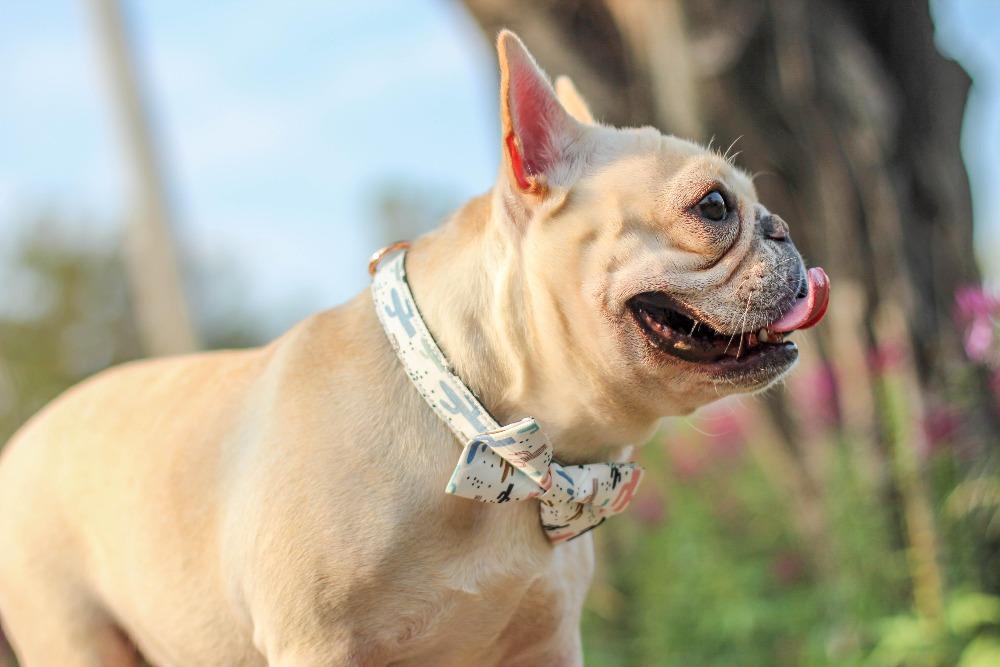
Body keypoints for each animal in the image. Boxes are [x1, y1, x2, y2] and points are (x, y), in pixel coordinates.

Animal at [0, 28, 828, 664]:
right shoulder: (317, 646)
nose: (784, 227)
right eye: (714, 206)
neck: (482, 422)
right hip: (76, 636)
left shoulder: (545, 640)